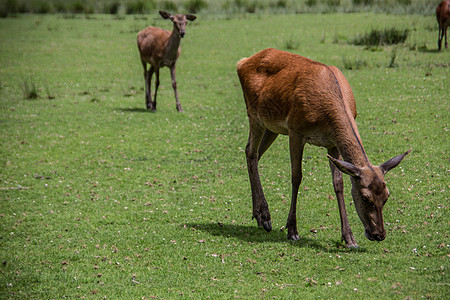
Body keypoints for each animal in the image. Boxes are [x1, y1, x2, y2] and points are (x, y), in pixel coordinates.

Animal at [237, 48, 410, 247]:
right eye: (365, 197)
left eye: (387, 195)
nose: (379, 235)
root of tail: (242, 62)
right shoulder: (295, 131)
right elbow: (296, 177)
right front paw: (292, 230)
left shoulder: (333, 144)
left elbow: (339, 183)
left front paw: (349, 238)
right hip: (254, 115)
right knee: (251, 151)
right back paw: (264, 216)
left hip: (272, 126)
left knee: (253, 153)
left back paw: (259, 215)